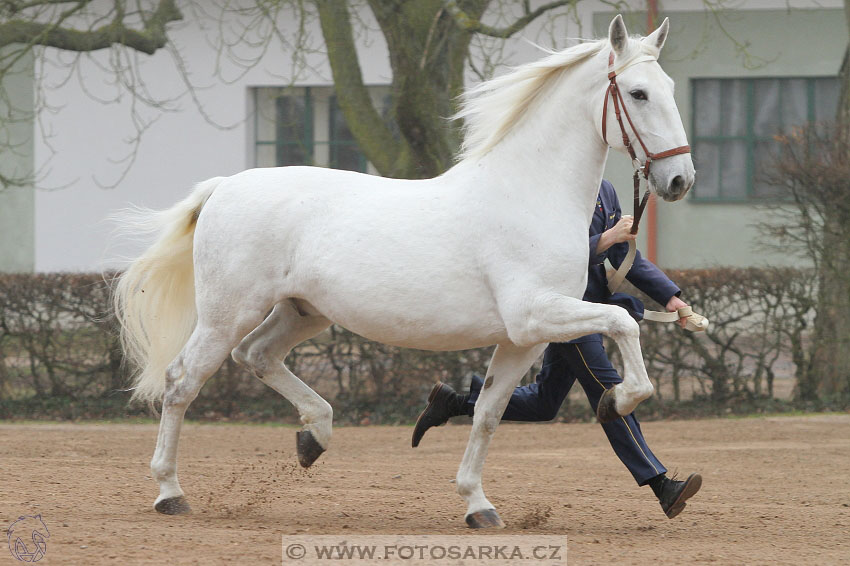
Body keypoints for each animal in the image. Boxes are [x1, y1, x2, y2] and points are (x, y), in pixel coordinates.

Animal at [112, 15, 692, 532]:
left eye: (669, 88)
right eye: (638, 93)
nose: (680, 180)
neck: (529, 192)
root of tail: (225, 187)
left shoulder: (522, 339)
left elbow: (488, 413)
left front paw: (478, 505)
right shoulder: (536, 315)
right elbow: (625, 324)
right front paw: (618, 401)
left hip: (304, 313)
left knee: (255, 356)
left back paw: (314, 437)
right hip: (227, 313)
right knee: (183, 381)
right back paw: (170, 493)